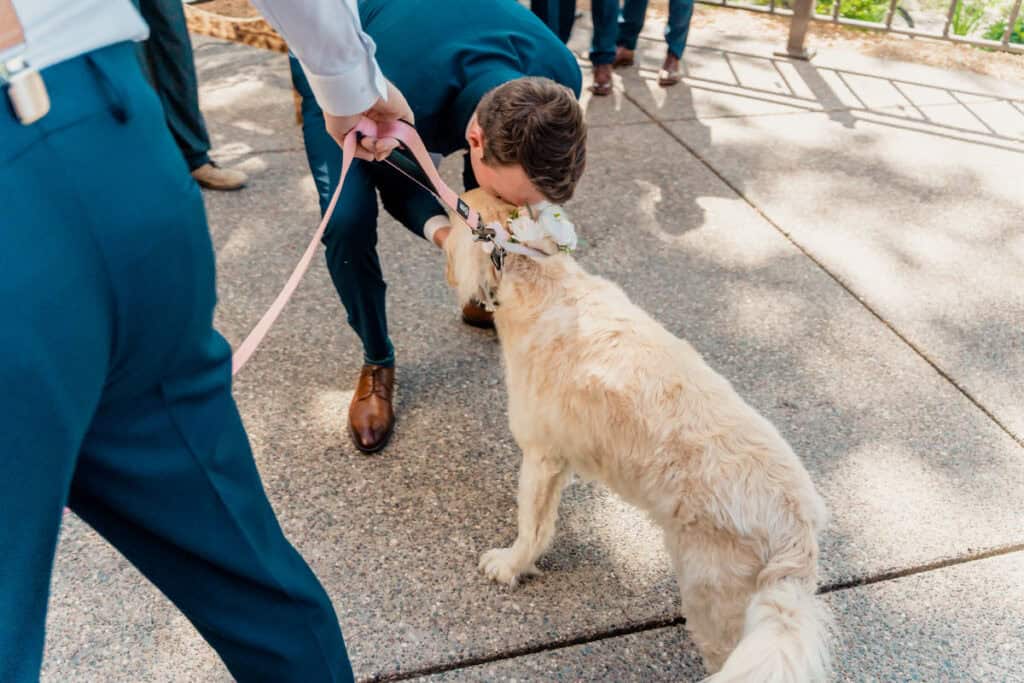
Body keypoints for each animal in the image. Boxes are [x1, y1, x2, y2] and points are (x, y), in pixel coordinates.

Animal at [446, 189, 831, 679]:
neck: (540, 276)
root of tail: (798, 532)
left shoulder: (541, 456)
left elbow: (531, 526)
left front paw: (509, 565)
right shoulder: (559, 461)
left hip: (713, 596)